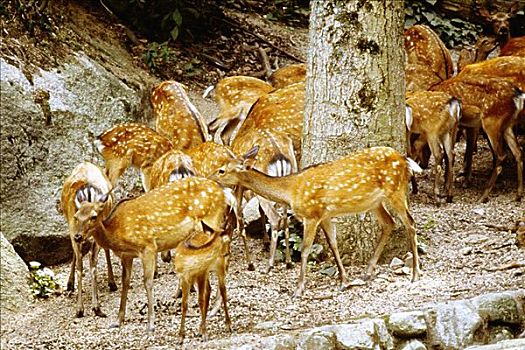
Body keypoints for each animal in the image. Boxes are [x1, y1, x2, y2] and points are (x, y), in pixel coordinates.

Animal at [59, 161, 116, 318]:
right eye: (77, 217)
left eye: (93, 217)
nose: (79, 236)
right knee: (90, 261)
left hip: (73, 229)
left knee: (83, 262)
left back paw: (82, 307)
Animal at [69, 178, 227, 330]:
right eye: (76, 216)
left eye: (93, 216)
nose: (77, 236)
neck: (116, 232)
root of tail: (223, 191)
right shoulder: (127, 256)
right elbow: (125, 282)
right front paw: (118, 320)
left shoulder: (148, 246)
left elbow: (148, 282)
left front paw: (151, 323)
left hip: (210, 222)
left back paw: (214, 309)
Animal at [211, 146, 420, 296]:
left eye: (221, 170)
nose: (209, 178)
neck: (291, 191)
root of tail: (405, 160)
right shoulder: (325, 214)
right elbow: (333, 244)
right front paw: (344, 281)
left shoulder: (311, 214)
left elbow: (305, 249)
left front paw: (298, 290)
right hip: (375, 202)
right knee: (389, 223)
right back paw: (368, 271)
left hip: (395, 190)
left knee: (410, 222)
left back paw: (415, 274)